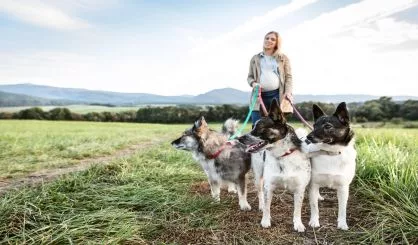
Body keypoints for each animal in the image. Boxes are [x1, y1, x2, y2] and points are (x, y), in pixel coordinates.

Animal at [238, 98, 310, 233]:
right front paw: (265, 221)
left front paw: (298, 224)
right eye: (252, 127)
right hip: (258, 177)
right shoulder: (269, 186)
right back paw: (261, 205)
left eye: (260, 127)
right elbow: (267, 207)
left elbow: (297, 210)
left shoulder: (299, 189)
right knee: (260, 193)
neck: (284, 155)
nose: (239, 138)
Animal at [304, 101, 356, 230]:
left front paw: (342, 224)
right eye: (314, 125)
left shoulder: (343, 188)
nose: (308, 137)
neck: (331, 153)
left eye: (327, 126)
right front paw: (314, 221)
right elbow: (314, 207)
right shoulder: (313, 184)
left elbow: (342, 209)